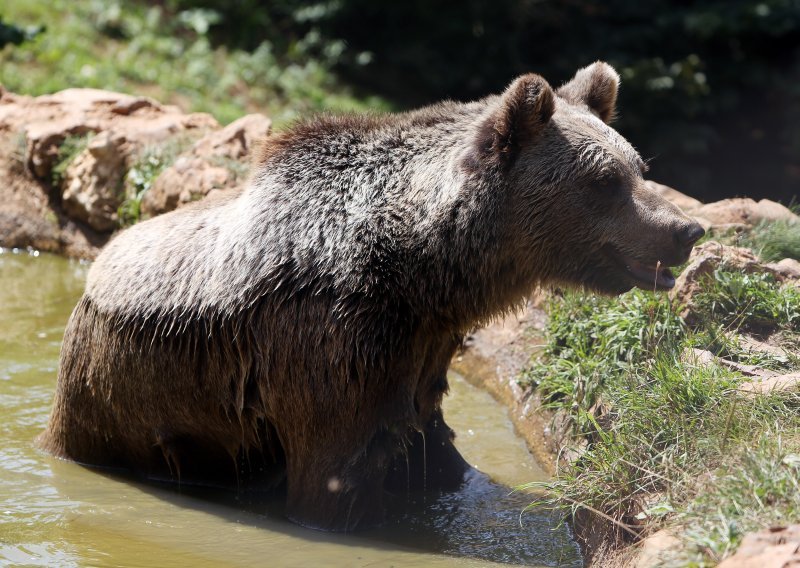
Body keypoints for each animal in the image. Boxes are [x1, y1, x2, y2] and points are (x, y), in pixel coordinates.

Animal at [39, 63, 700, 532]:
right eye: (603, 181)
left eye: (638, 166)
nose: (686, 229)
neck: (423, 266)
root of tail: (95, 273)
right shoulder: (331, 344)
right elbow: (336, 476)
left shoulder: (419, 350)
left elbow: (433, 451)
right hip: (122, 391)